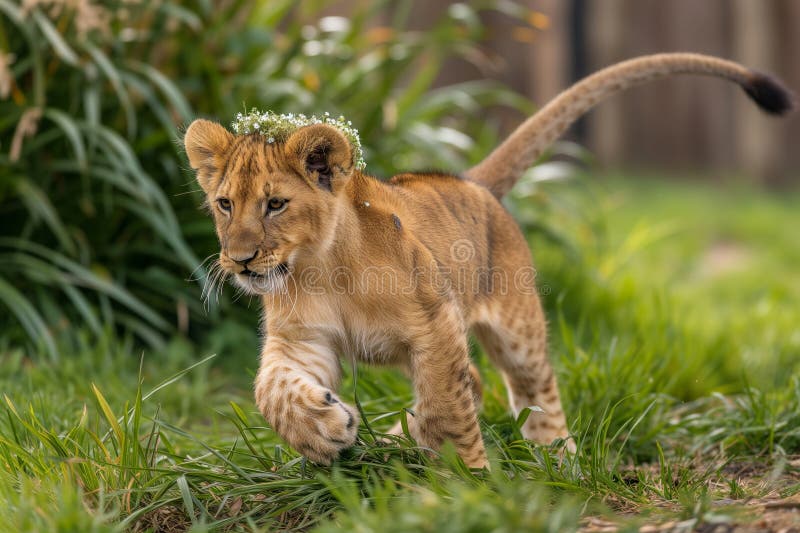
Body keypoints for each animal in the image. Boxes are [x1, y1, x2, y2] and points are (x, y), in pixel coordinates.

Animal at [184, 53, 792, 468]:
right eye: (225, 204)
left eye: (276, 204)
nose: (239, 261)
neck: (319, 269)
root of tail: (471, 180)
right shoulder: (303, 340)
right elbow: (270, 389)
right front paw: (322, 431)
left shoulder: (435, 325)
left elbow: (447, 406)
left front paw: (468, 477)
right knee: (472, 380)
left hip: (515, 329)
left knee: (531, 389)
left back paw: (557, 459)